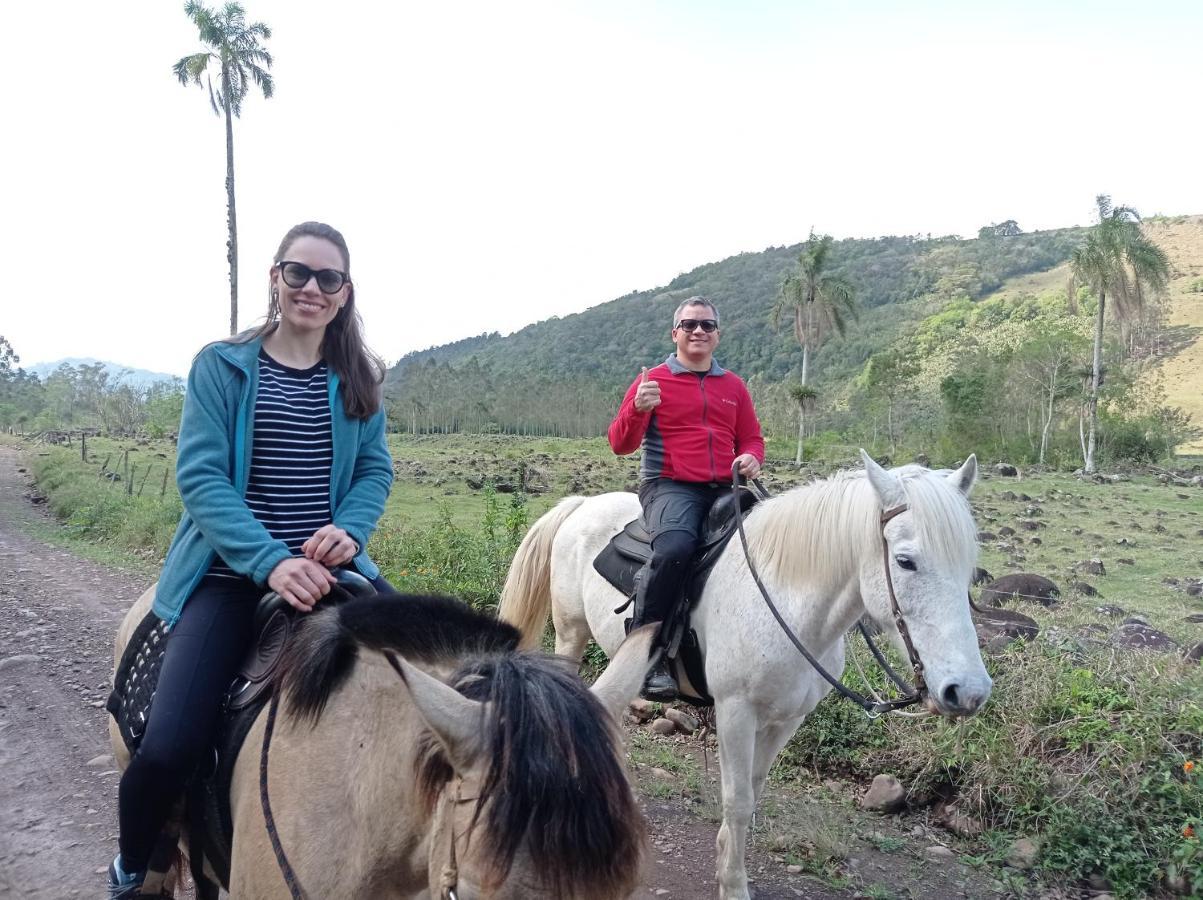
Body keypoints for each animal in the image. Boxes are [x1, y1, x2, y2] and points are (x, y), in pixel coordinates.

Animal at [500, 452, 996, 900]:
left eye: (969, 567)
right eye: (906, 561)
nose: (968, 692)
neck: (788, 601)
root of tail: (582, 504)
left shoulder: (787, 719)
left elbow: (754, 793)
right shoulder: (735, 710)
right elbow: (737, 801)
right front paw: (733, 886)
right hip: (571, 635)